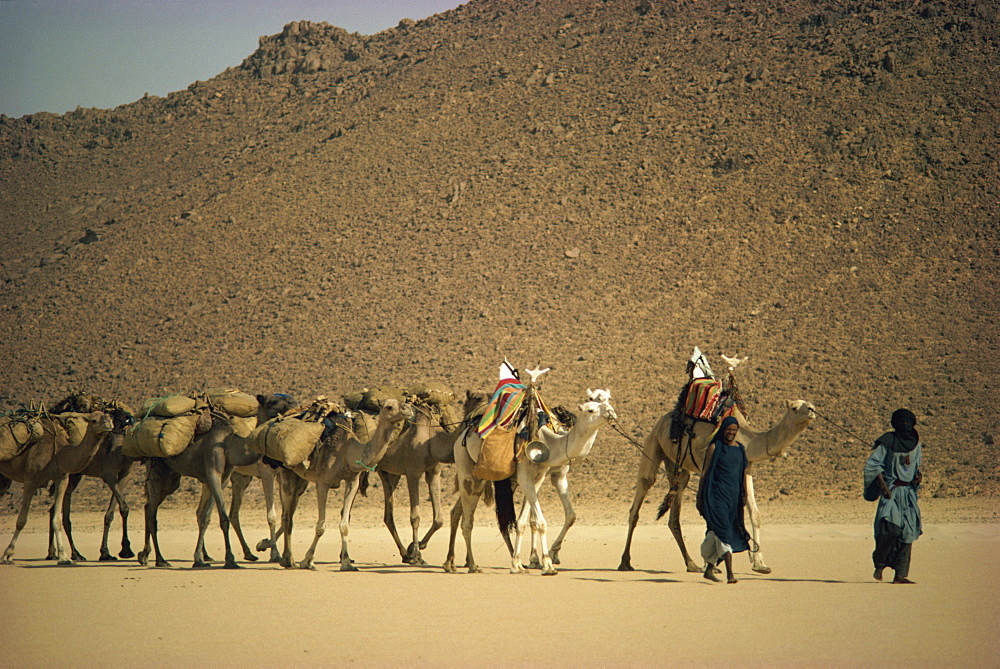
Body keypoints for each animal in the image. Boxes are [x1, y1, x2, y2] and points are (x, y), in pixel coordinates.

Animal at [0, 408, 114, 564]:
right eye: (93, 420)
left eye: (108, 416)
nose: (109, 423)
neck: (58, 454)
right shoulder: (30, 480)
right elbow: (21, 520)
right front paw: (8, 554)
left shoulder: (61, 479)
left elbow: (57, 520)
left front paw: (63, 556)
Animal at [139, 392, 298, 568]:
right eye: (273, 401)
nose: (295, 404)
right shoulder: (263, 472)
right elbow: (271, 517)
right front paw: (272, 554)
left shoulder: (274, 475)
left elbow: (285, 515)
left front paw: (267, 547)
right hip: (159, 469)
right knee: (152, 511)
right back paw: (159, 559)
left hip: (200, 478)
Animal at [276, 396, 412, 568]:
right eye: (389, 407)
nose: (408, 409)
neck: (347, 451)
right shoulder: (323, 482)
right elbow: (321, 526)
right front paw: (307, 560)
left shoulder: (352, 480)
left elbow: (344, 524)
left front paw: (347, 562)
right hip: (285, 471)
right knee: (286, 514)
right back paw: (287, 559)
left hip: (300, 477)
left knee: (291, 508)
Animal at [612, 396, 816, 576]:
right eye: (794, 408)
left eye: (808, 403)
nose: (812, 409)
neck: (746, 438)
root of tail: (661, 421)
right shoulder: (708, 461)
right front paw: (711, 565)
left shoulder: (746, 468)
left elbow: (755, 514)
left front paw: (759, 564)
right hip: (652, 444)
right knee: (641, 495)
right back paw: (624, 562)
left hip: (678, 468)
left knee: (675, 510)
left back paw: (691, 564)